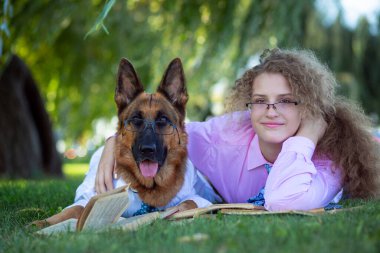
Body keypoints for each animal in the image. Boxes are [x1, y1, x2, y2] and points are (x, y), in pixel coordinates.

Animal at [32, 58, 217, 228]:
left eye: (163, 120)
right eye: (136, 119)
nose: (147, 150)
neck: (149, 186)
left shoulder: (198, 198)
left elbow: (187, 203)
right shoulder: (90, 199)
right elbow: (74, 209)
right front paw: (41, 223)